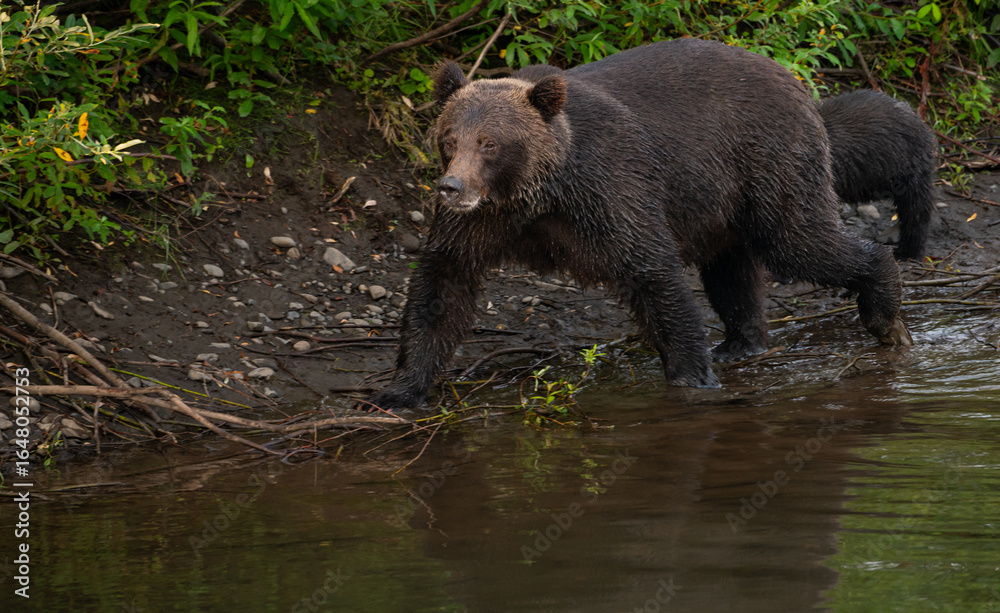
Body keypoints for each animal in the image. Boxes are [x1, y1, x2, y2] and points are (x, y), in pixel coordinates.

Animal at [362, 39, 912, 411]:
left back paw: (885, 311)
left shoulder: (608, 191)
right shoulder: (482, 224)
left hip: (767, 163)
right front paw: (399, 391)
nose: (451, 188)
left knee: (799, 242)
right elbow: (442, 288)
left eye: (490, 142)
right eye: (449, 138)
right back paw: (741, 342)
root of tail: (795, 81)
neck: (537, 192)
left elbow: (652, 270)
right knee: (732, 271)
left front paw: (691, 377)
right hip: (723, 202)